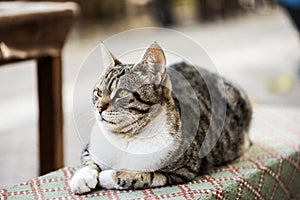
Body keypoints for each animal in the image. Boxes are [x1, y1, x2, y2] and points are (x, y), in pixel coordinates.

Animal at [69, 41, 252, 194]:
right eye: (99, 93)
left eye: (122, 93)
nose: (99, 108)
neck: (124, 137)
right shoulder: (89, 148)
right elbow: (88, 160)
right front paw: (82, 178)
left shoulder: (182, 171)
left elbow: (144, 176)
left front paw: (108, 176)